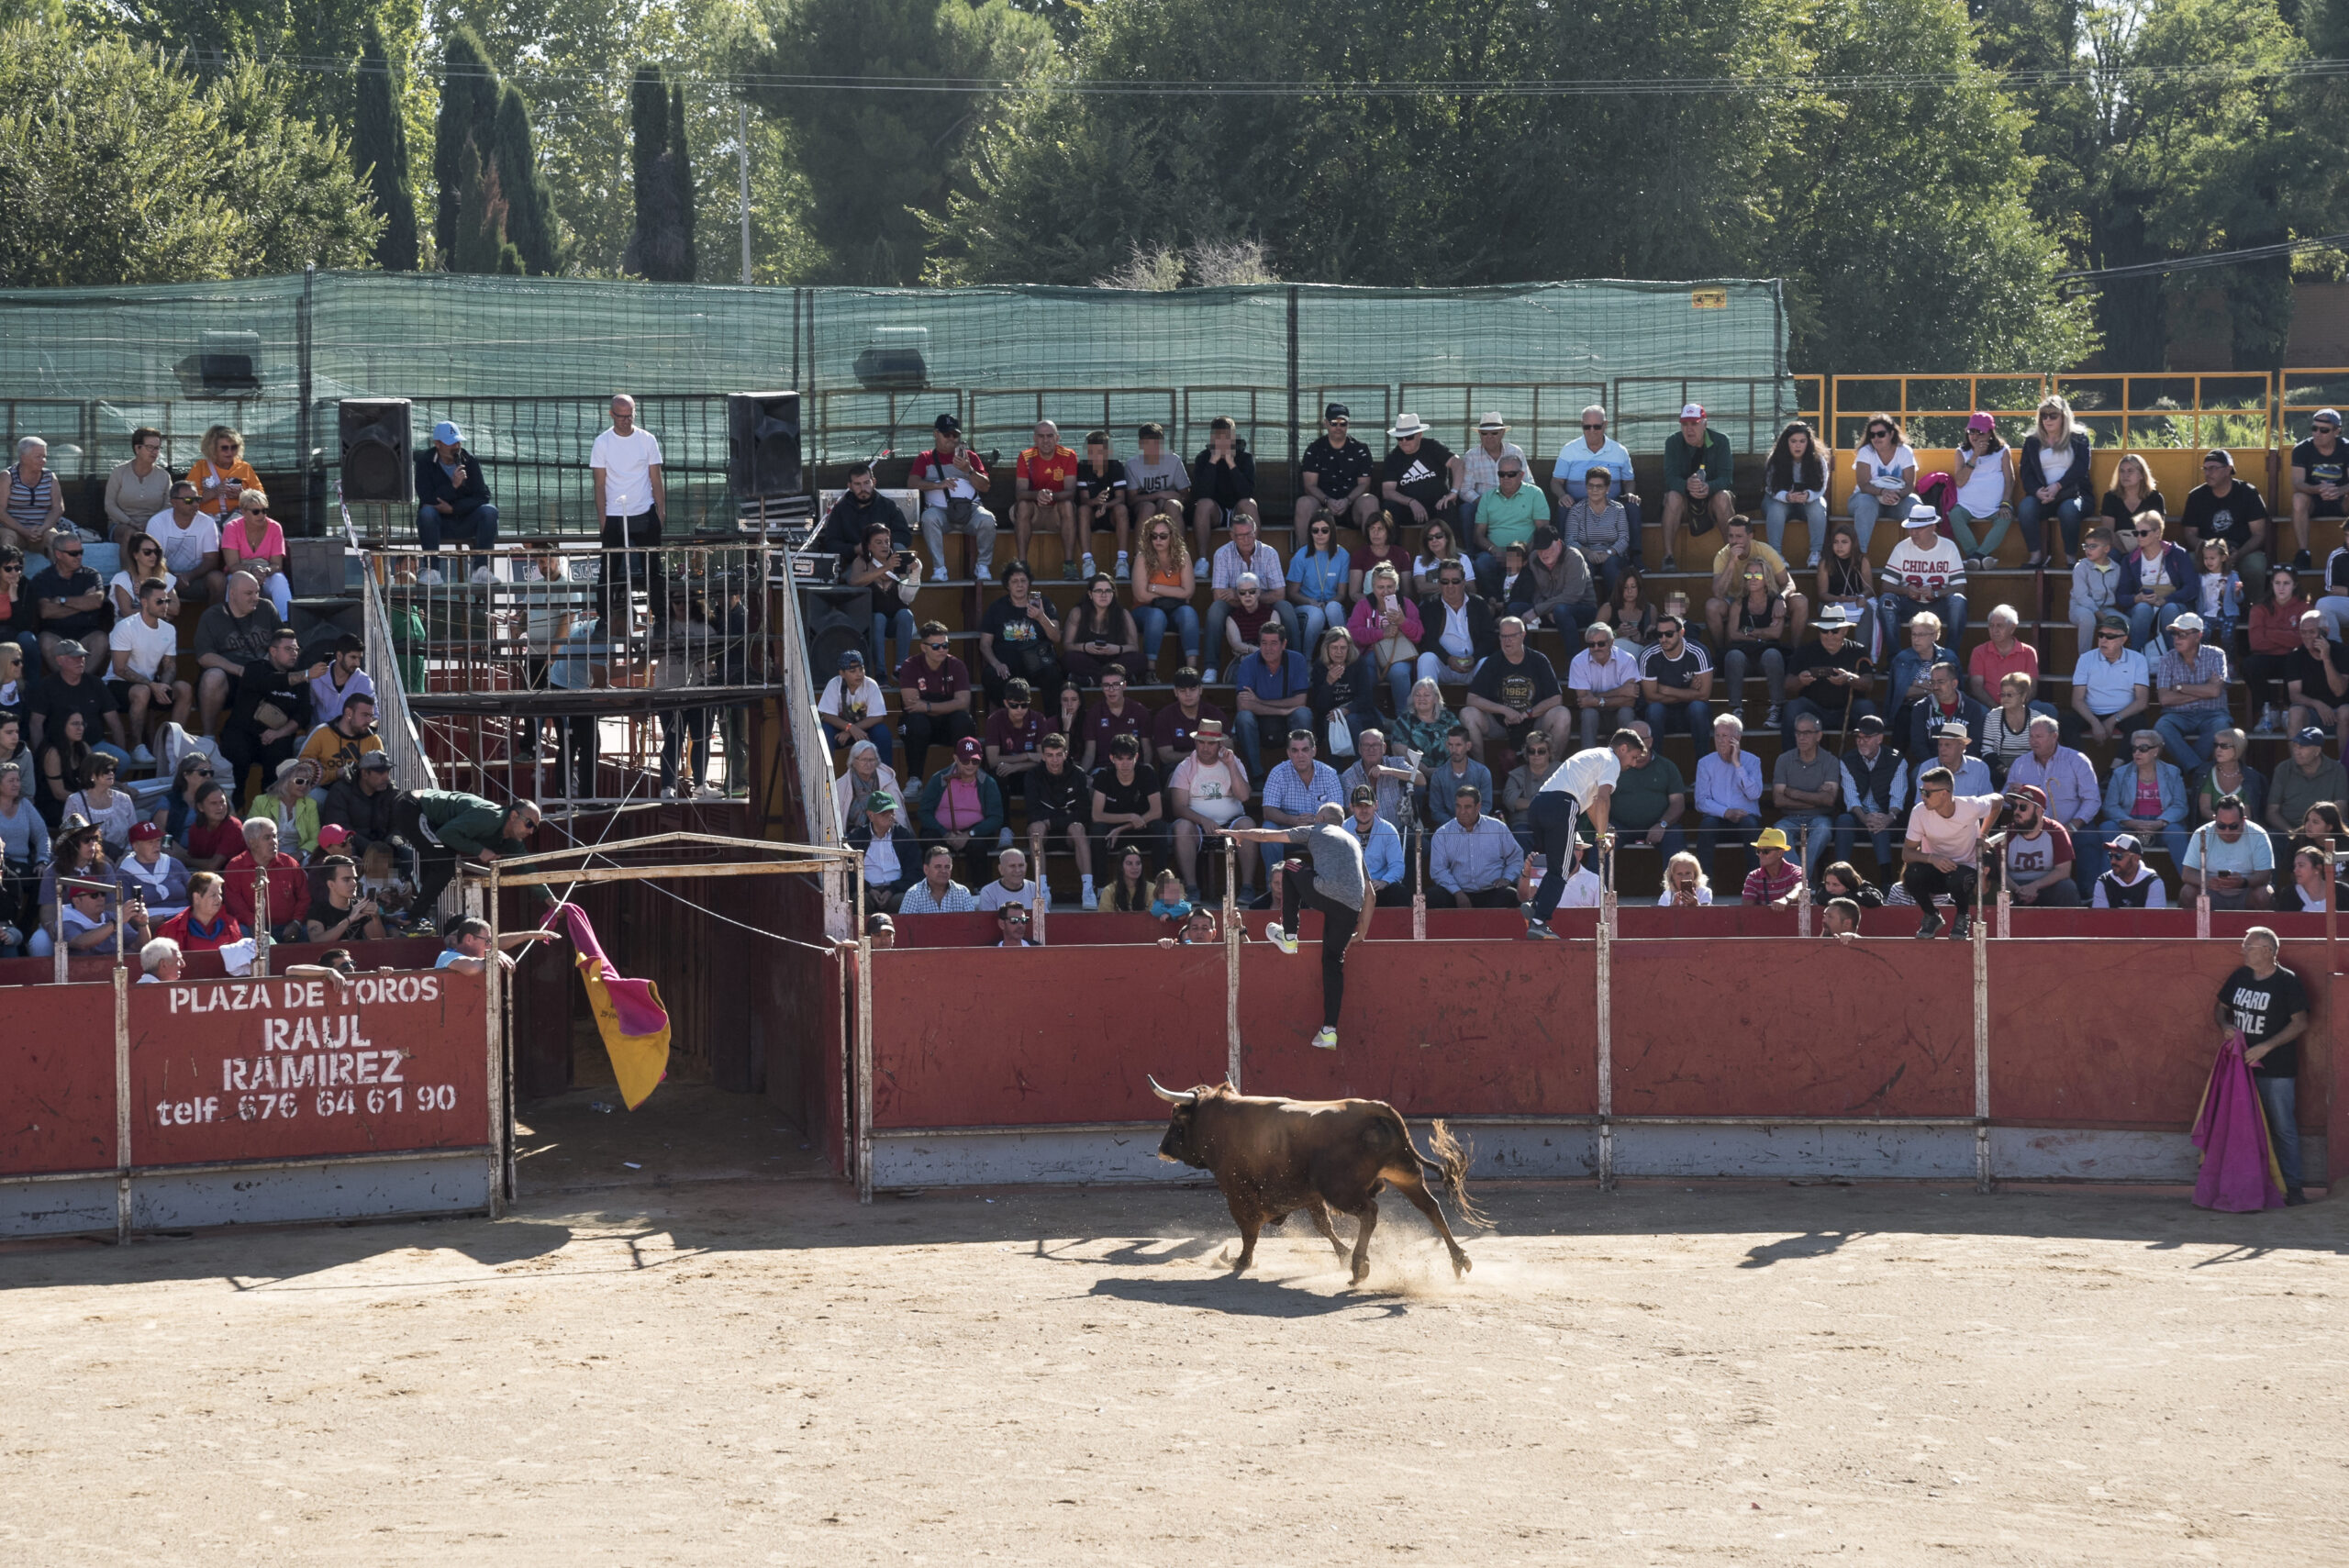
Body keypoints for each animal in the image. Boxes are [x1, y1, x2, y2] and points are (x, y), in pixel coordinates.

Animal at [1141, 1079, 1484, 1285]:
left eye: (1176, 1118)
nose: (1161, 1148)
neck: (1223, 1121)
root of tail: (1375, 1108)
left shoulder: (1238, 1192)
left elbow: (1249, 1231)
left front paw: (1241, 1262)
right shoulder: (1308, 1195)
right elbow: (1323, 1227)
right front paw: (1341, 1253)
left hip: (1343, 1190)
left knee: (1370, 1212)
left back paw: (1359, 1268)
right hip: (1406, 1175)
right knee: (1431, 1208)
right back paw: (1459, 1260)